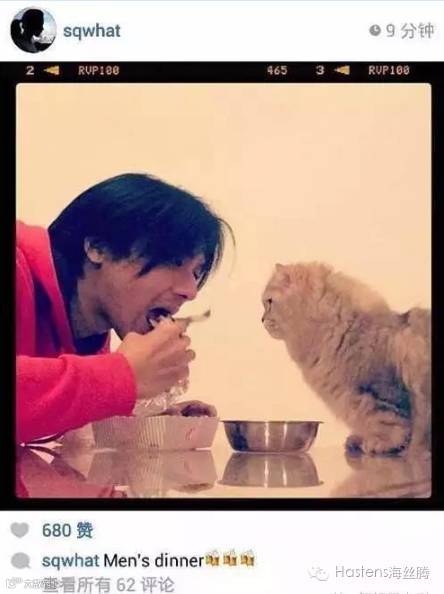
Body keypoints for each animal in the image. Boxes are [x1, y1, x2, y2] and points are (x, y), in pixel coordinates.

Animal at [262, 262, 431, 455]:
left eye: (269, 302)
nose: (261, 319)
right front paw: (359, 440)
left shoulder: (382, 389)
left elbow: (394, 421)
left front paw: (382, 443)